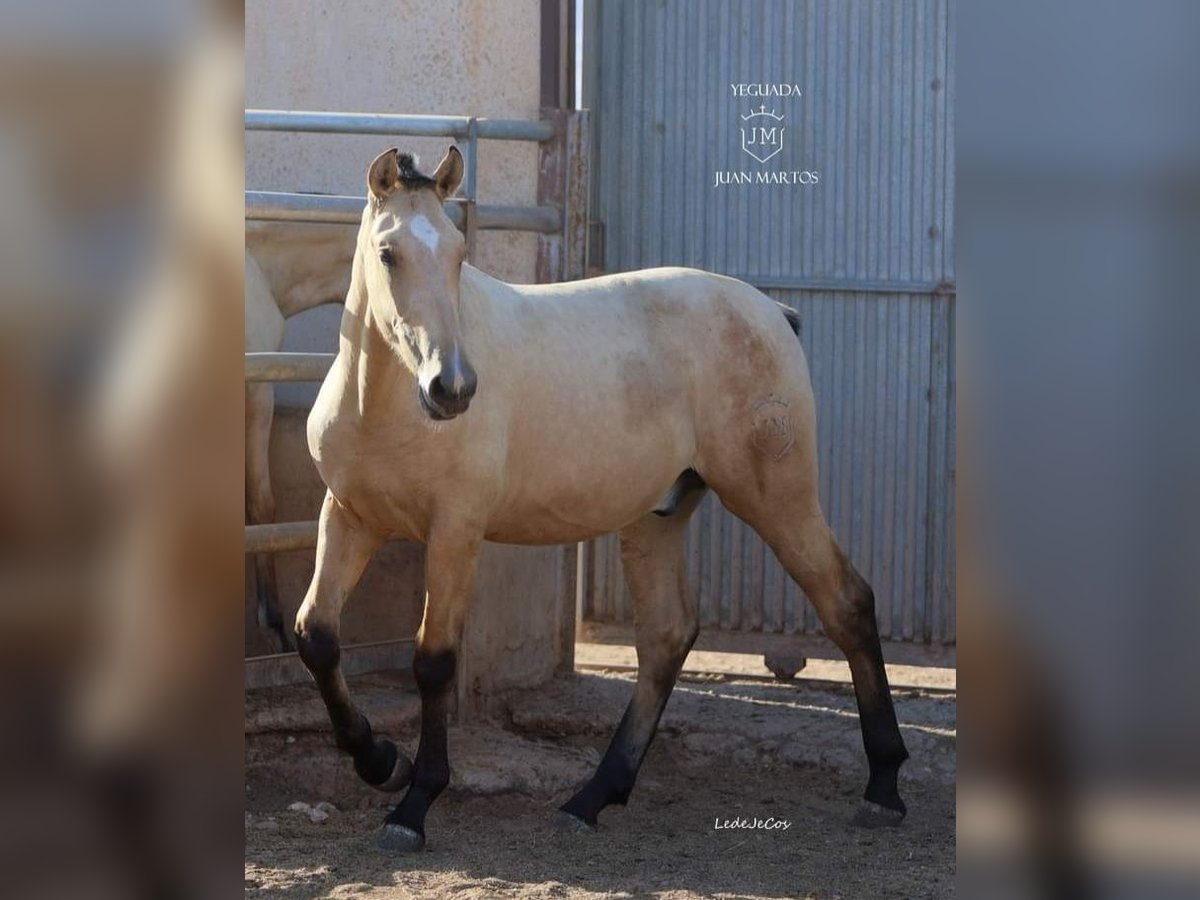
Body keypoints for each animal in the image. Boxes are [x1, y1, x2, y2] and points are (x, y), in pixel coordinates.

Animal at [295, 146, 902, 854]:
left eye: (457, 251)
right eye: (388, 253)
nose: (452, 388)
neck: (383, 407)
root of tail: (774, 313)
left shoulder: (455, 533)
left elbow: (434, 662)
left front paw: (413, 805)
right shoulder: (349, 518)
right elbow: (316, 637)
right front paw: (379, 762)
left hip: (779, 498)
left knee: (847, 603)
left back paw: (884, 788)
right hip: (657, 518)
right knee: (666, 637)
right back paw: (592, 797)